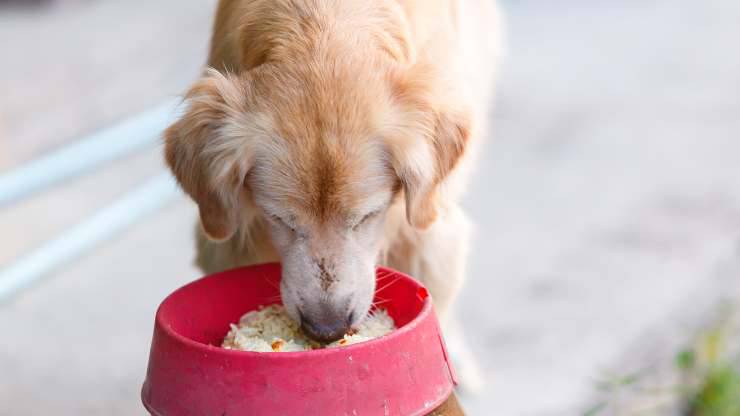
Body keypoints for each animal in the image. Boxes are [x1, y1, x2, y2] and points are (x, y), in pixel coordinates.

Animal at [165, 0, 500, 390]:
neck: (323, 25)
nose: (327, 329)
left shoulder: (426, 228)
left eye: (368, 215)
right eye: (279, 219)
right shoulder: (233, 234)